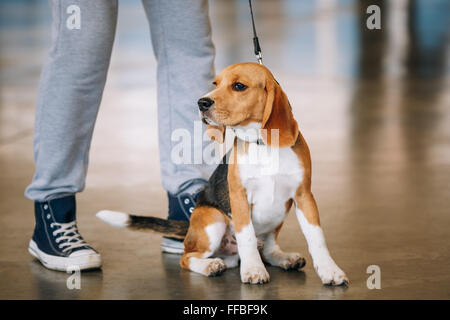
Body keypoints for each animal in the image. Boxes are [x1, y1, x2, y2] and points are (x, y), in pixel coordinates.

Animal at [98, 62, 350, 284]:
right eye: (215, 83)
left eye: (239, 86)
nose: (201, 102)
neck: (262, 144)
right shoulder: (239, 197)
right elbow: (246, 237)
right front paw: (254, 271)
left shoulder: (304, 196)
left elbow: (317, 238)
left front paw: (331, 271)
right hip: (213, 221)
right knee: (187, 258)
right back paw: (210, 265)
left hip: (277, 218)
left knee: (266, 250)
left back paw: (283, 258)